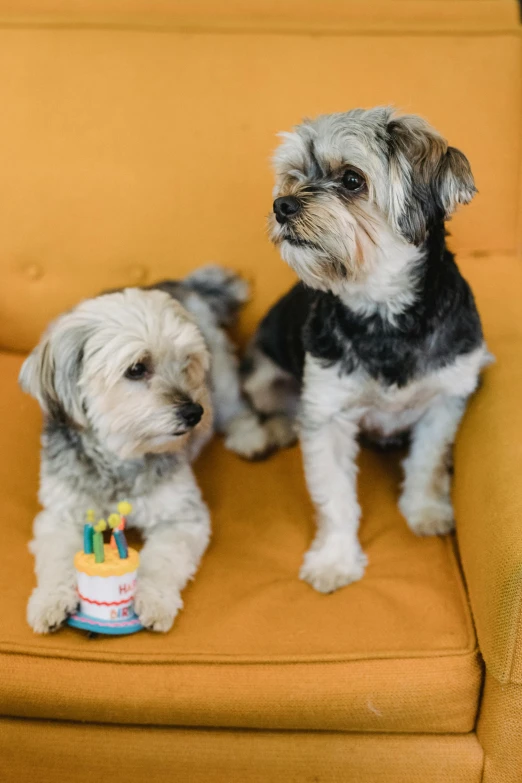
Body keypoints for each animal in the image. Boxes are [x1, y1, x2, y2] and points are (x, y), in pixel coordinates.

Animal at [242, 107, 490, 592]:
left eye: (352, 179)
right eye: (293, 177)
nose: (282, 205)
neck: (384, 315)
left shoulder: (446, 397)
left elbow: (429, 461)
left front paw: (426, 510)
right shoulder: (327, 412)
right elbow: (335, 497)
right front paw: (335, 560)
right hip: (264, 374)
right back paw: (261, 434)